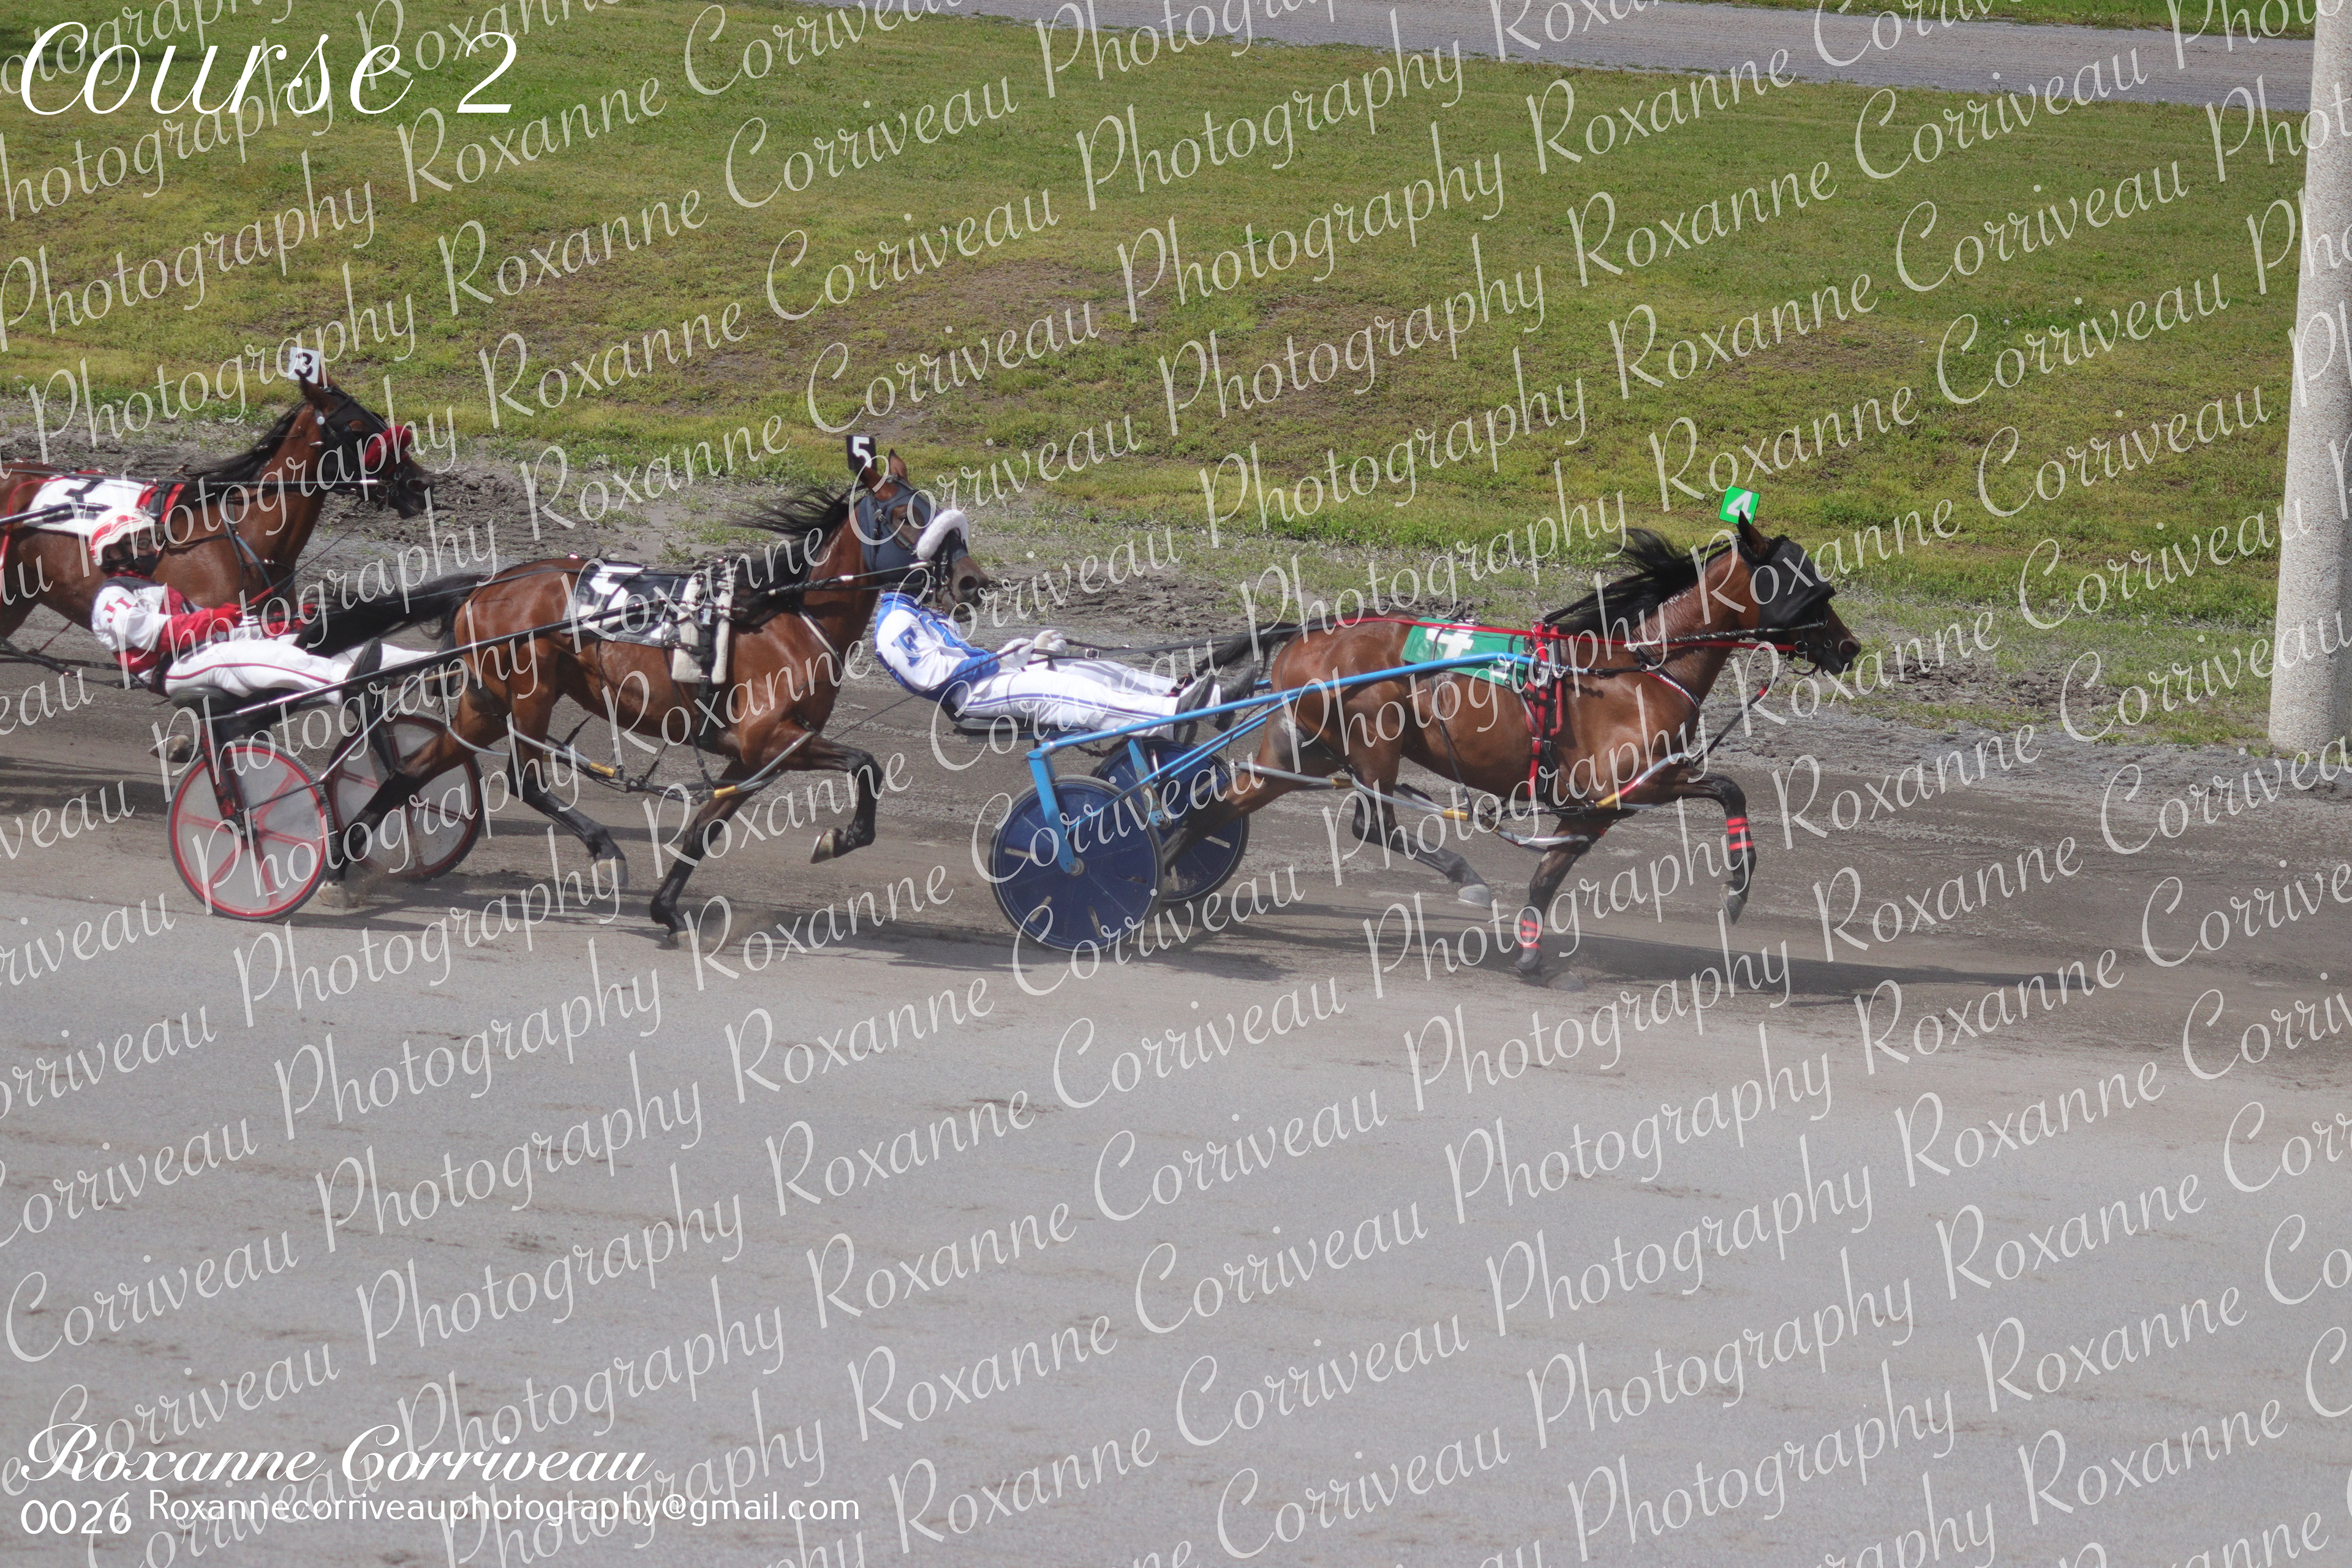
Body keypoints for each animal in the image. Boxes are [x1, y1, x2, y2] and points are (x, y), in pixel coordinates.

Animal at [337, 470, 989, 936]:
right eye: (905, 515)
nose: (971, 582)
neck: (789, 616)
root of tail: (485, 585)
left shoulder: (753, 757)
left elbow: (706, 828)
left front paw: (667, 908)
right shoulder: (772, 738)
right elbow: (866, 765)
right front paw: (841, 839)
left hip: (486, 707)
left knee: (408, 773)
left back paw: (346, 864)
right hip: (530, 693)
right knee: (525, 781)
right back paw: (603, 849)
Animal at [1160, 522, 1861, 981]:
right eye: (1804, 582)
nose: (1849, 647)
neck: (1637, 671)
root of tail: (1307, 631)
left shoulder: (1595, 807)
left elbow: (1548, 874)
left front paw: (1528, 952)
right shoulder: (1627, 787)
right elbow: (1730, 789)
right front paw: (1737, 887)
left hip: (1298, 754)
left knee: (1216, 806)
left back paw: (1163, 876)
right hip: (1371, 742)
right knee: (1372, 822)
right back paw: (1462, 875)